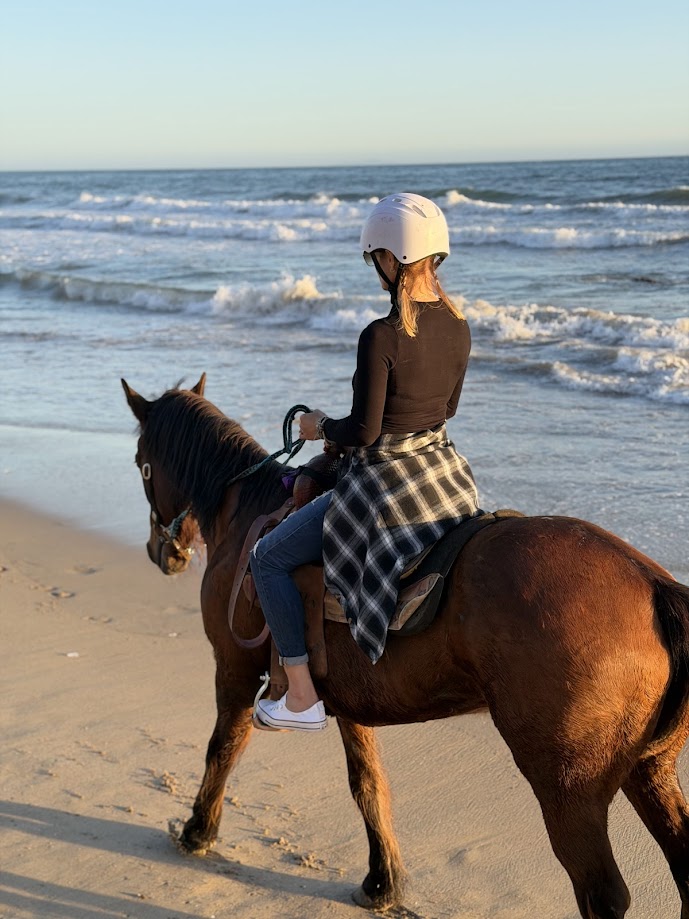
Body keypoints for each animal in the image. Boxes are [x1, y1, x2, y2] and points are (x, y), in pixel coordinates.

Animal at [122, 374, 689, 919]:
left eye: (141, 463)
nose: (162, 552)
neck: (246, 515)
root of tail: (653, 584)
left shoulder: (234, 667)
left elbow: (222, 748)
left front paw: (198, 831)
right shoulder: (350, 700)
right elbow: (368, 784)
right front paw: (381, 881)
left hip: (568, 787)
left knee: (602, 893)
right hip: (650, 769)